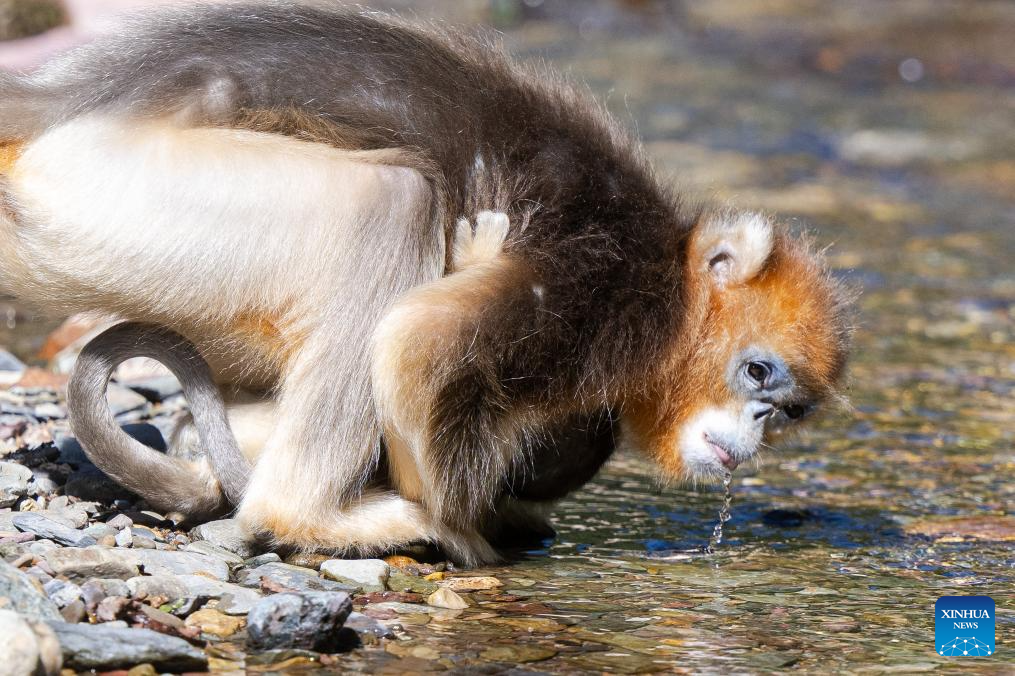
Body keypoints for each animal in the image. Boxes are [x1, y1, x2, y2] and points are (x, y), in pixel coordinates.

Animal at [0, 2, 852, 564]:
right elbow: (418, 342)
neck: (670, 286)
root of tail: (55, 98)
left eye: (786, 413)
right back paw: (319, 517)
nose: (753, 432)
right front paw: (469, 527)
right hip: (108, 186)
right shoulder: (600, 291)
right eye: (756, 373)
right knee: (394, 201)